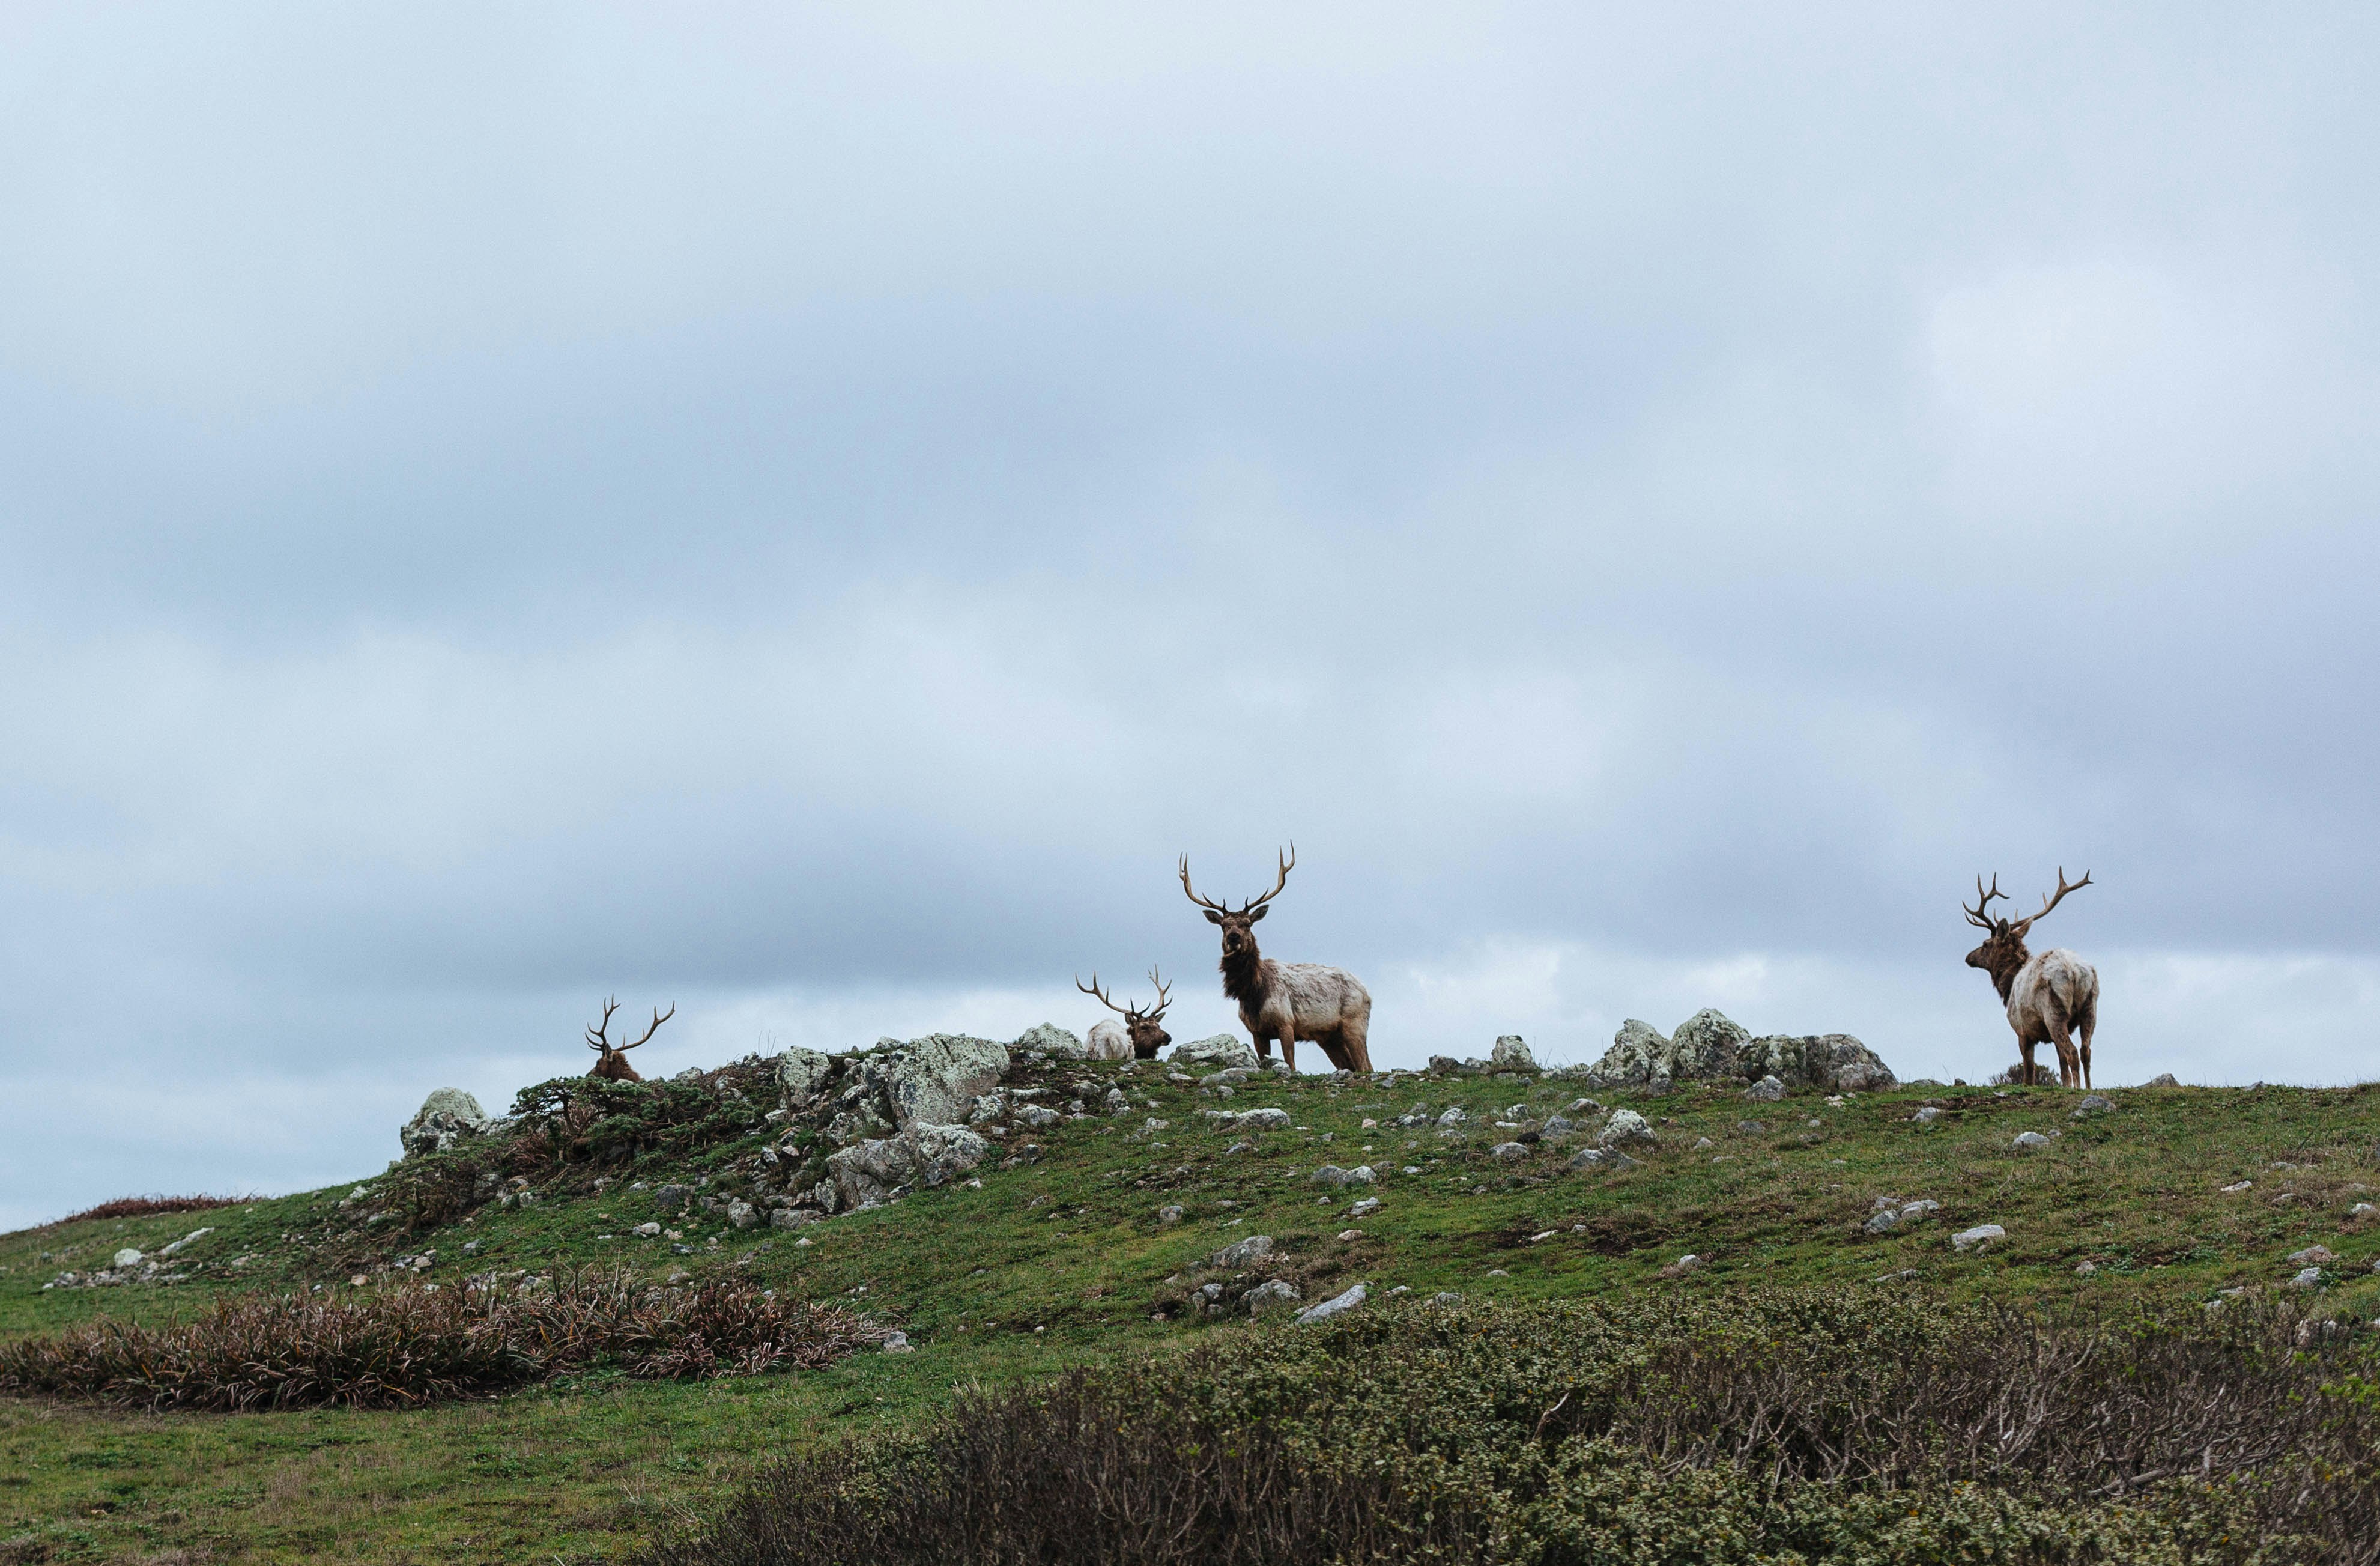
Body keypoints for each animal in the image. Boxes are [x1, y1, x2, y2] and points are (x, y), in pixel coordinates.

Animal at [1175, 842, 1380, 1075]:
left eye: (1248, 923)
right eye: (1224, 926)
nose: (1234, 938)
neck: (1253, 994)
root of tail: (1367, 991)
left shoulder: (1286, 1022)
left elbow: (1291, 1064)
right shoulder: (1257, 1032)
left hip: (1355, 1021)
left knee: (1366, 1066)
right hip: (1329, 1036)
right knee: (1352, 1065)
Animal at [1970, 866, 2104, 1085]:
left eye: (1985, 944)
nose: (1969, 958)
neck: (2008, 986)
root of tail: (2074, 972)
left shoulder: (2022, 1030)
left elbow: (2029, 1073)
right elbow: (2063, 1070)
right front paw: (2066, 1086)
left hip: (2054, 1012)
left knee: (2073, 1052)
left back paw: (2079, 1088)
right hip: (2090, 1007)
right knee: (2086, 1051)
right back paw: (2088, 1088)